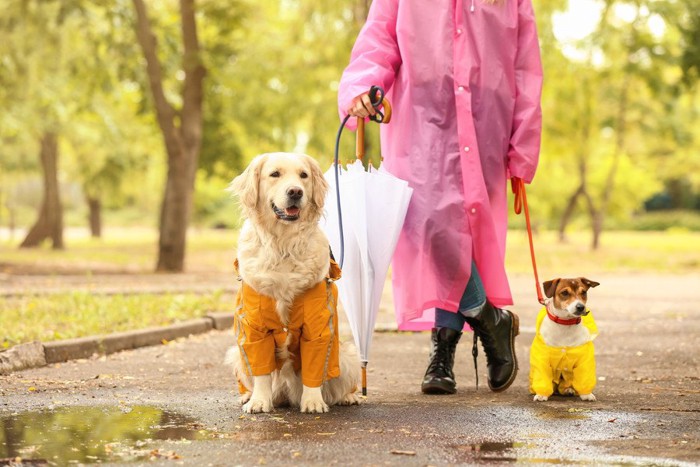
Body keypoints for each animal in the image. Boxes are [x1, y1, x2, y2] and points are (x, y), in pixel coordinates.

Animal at [227, 153, 360, 414]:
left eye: (303, 175)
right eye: (275, 174)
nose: (296, 192)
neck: (283, 246)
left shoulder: (318, 328)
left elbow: (314, 368)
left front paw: (313, 401)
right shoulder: (253, 327)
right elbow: (261, 371)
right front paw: (259, 401)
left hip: (349, 354)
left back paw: (347, 397)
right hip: (236, 353)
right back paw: (247, 396)